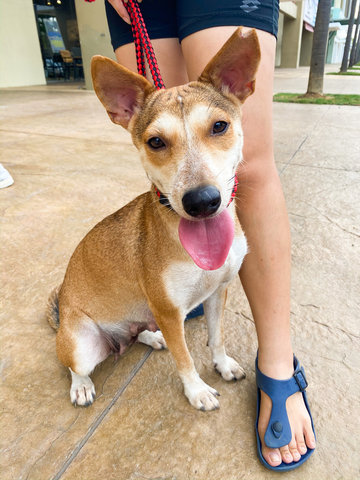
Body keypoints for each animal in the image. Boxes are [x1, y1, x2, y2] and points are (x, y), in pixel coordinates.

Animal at [47, 28, 260, 410]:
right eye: (156, 142)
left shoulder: (217, 292)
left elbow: (217, 337)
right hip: (81, 342)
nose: (202, 202)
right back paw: (81, 386)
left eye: (220, 126)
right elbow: (185, 357)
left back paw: (148, 336)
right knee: (74, 366)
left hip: (142, 316)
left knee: (137, 331)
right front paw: (197, 391)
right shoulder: (170, 312)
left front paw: (222, 365)